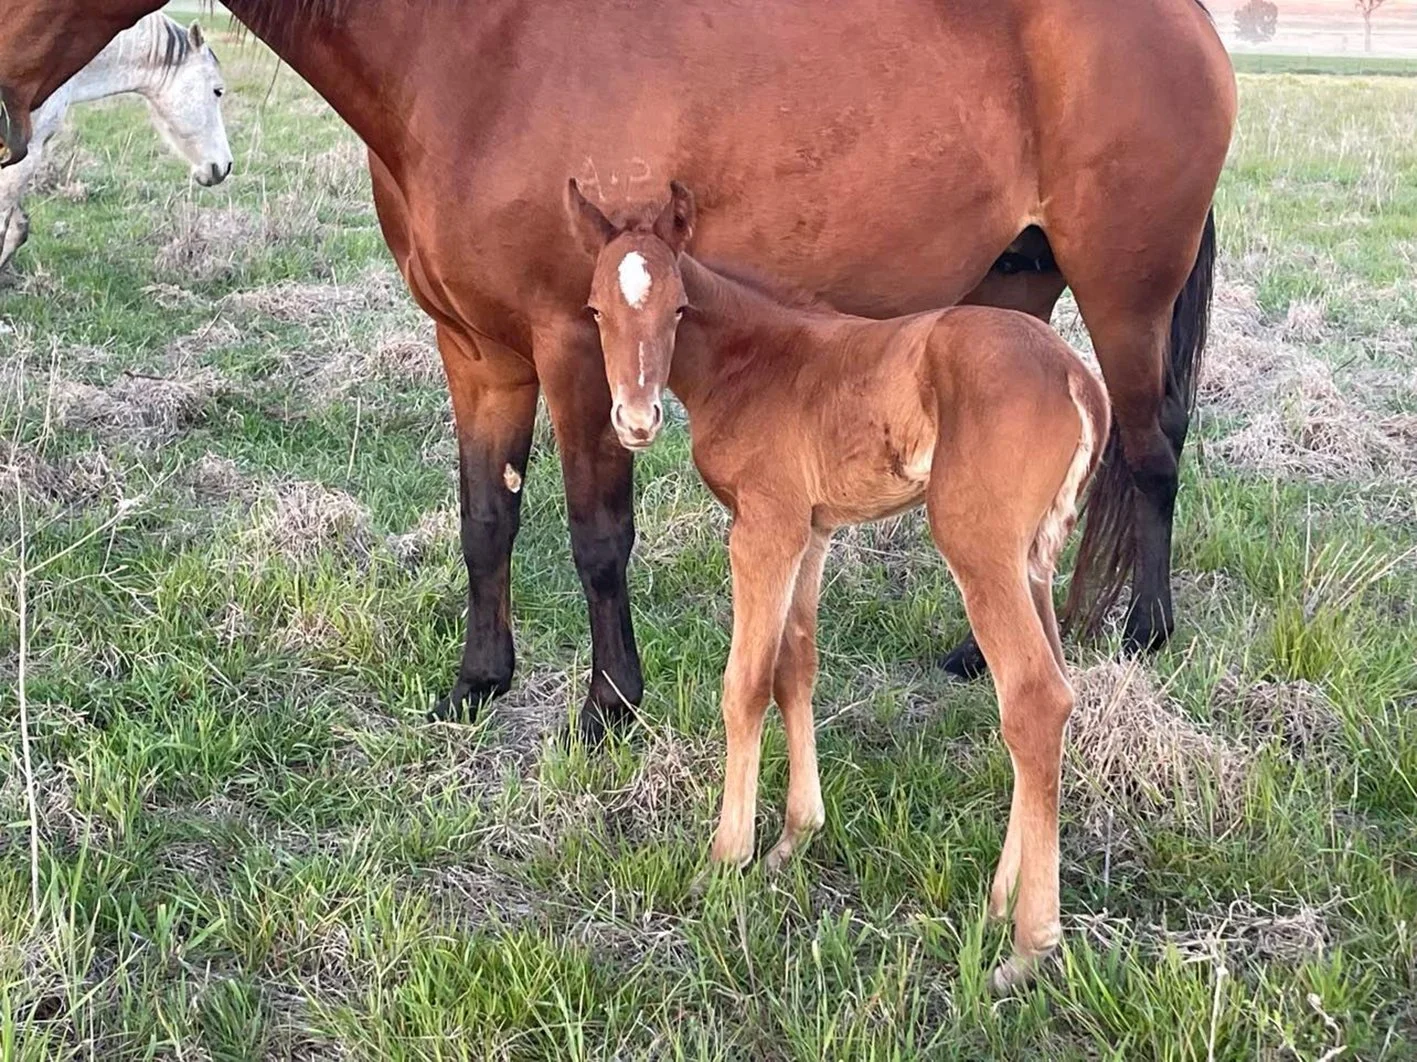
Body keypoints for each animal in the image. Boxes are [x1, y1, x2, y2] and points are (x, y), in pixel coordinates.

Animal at [568, 179, 1109, 990]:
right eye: (597, 309)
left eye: (678, 309)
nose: (636, 419)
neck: (754, 359)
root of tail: (1078, 377)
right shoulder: (813, 529)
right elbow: (795, 666)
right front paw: (792, 841)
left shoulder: (764, 528)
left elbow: (745, 683)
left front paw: (724, 859)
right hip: (1032, 558)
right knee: (1055, 691)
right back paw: (1000, 899)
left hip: (977, 545)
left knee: (1032, 697)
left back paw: (1027, 946)